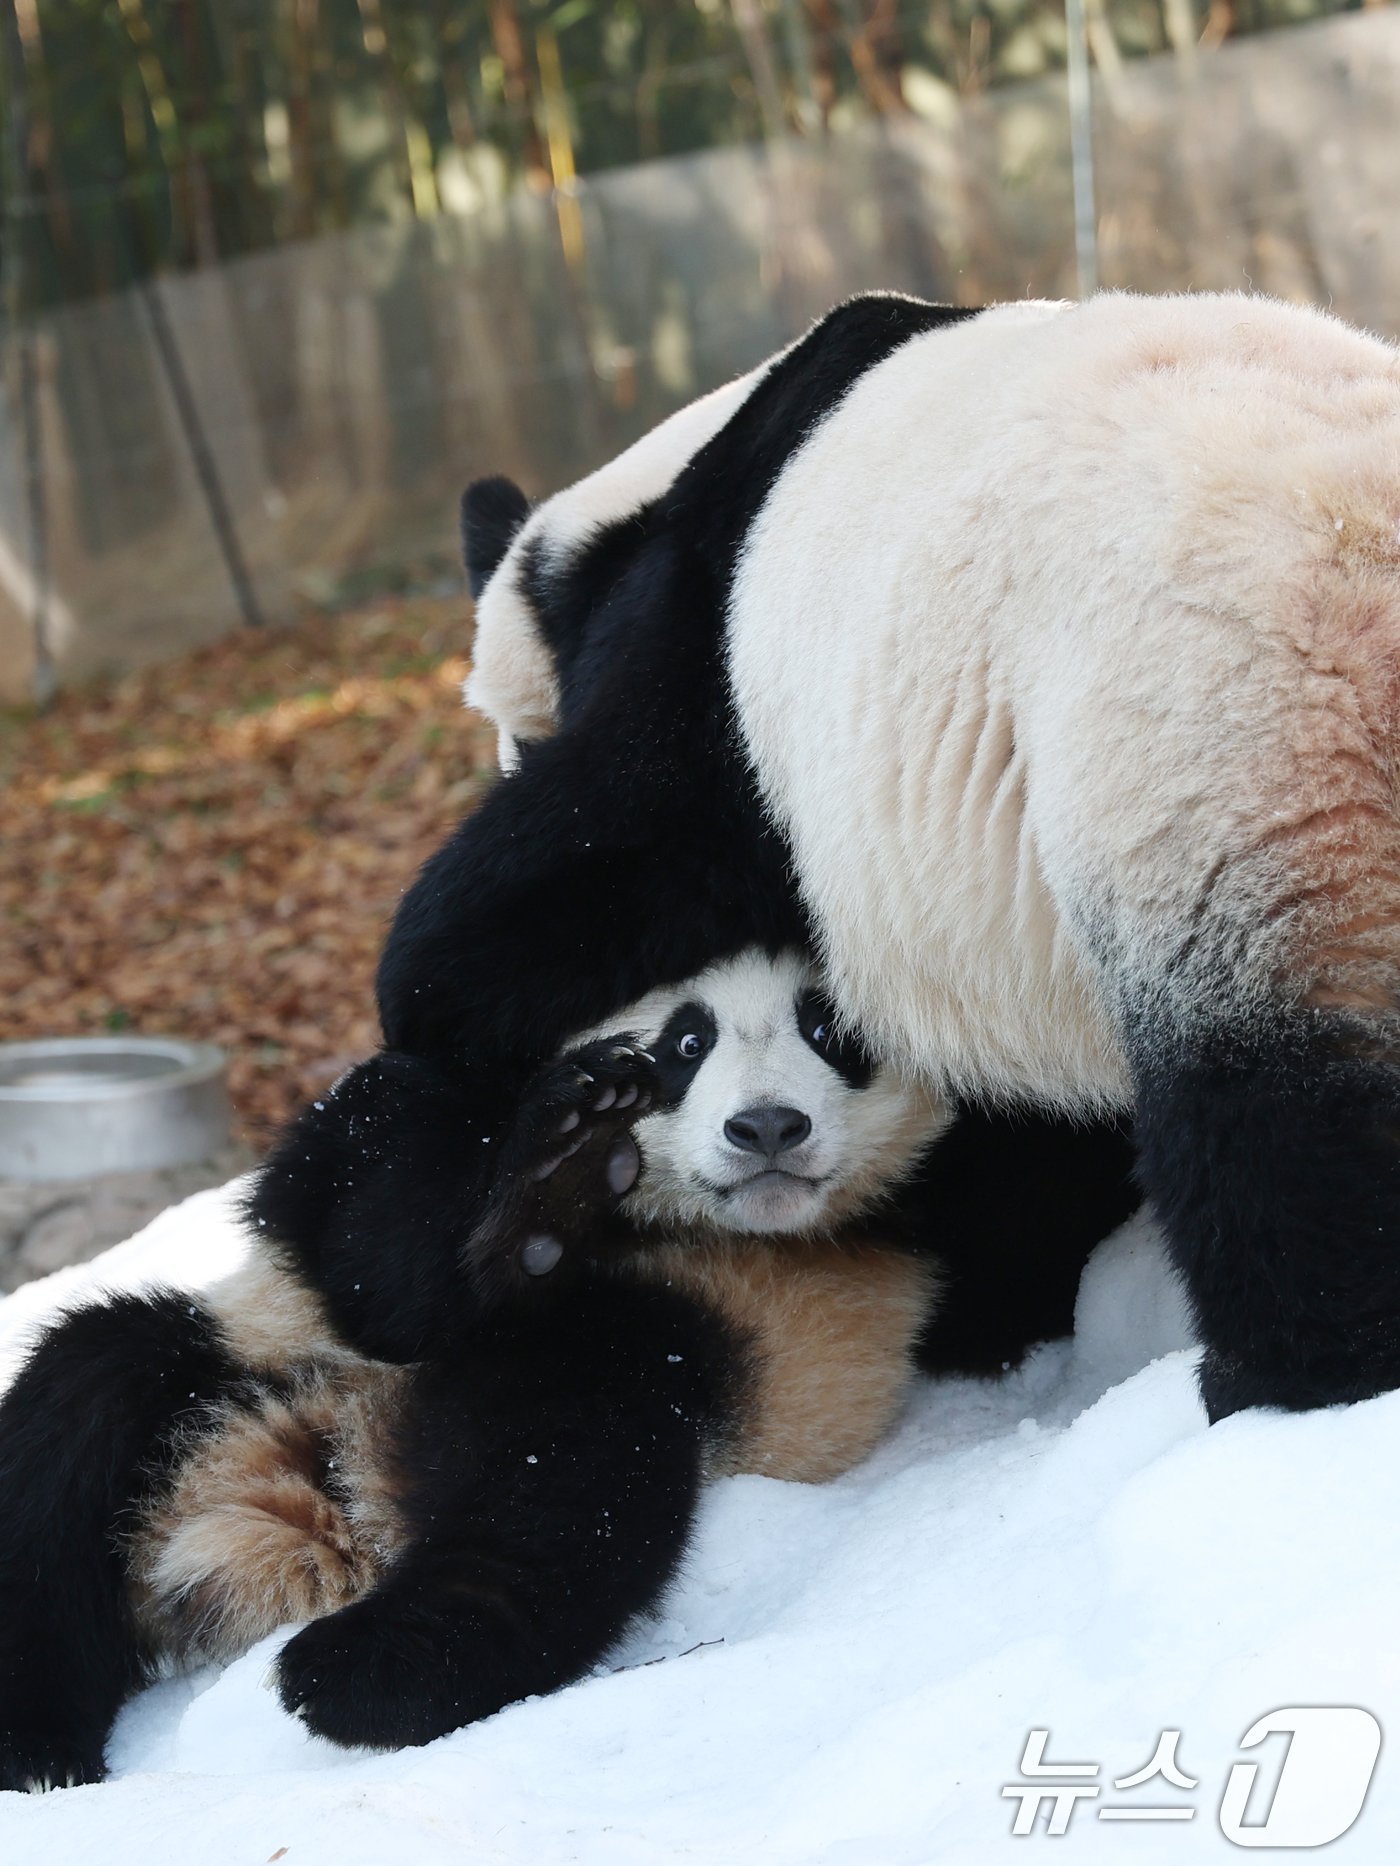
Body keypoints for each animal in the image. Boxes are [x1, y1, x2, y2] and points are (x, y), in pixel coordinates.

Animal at [0, 955, 1142, 1783]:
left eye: (832, 1030)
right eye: (686, 1040)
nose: (767, 1127)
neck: (669, 1219)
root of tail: (330, 1490)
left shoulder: (945, 1219)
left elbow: (1021, 1250)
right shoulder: (408, 1142)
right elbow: (358, 1220)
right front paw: (548, 1170)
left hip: (678, 1356)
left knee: (565, 1467)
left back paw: (369, 1670)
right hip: (254, 1350)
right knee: (78, 1407)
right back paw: (40, 1747)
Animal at [236, 287, 1396, 1425]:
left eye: (515, 739)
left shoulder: (705, 653)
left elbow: (610, 847)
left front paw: (427, 984)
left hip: (1216, 749)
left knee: (1277, 1117)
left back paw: (1290, 1388)